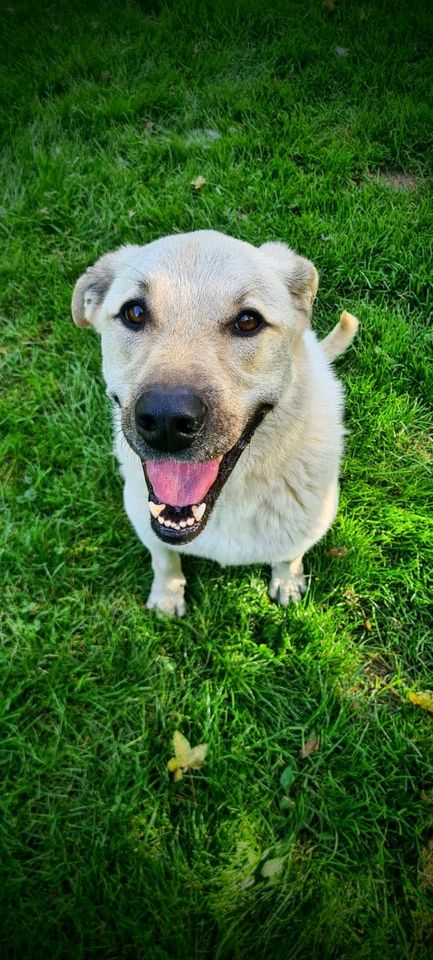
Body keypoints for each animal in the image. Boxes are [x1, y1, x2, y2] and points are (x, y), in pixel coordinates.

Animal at [71, 231, 358, 616]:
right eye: (134, 312)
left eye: (248, 321)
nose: (166, 421)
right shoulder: (146, 521)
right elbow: (164, 559)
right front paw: (167, 594)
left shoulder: (311, 522)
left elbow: (290, 555)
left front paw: (287, 581)